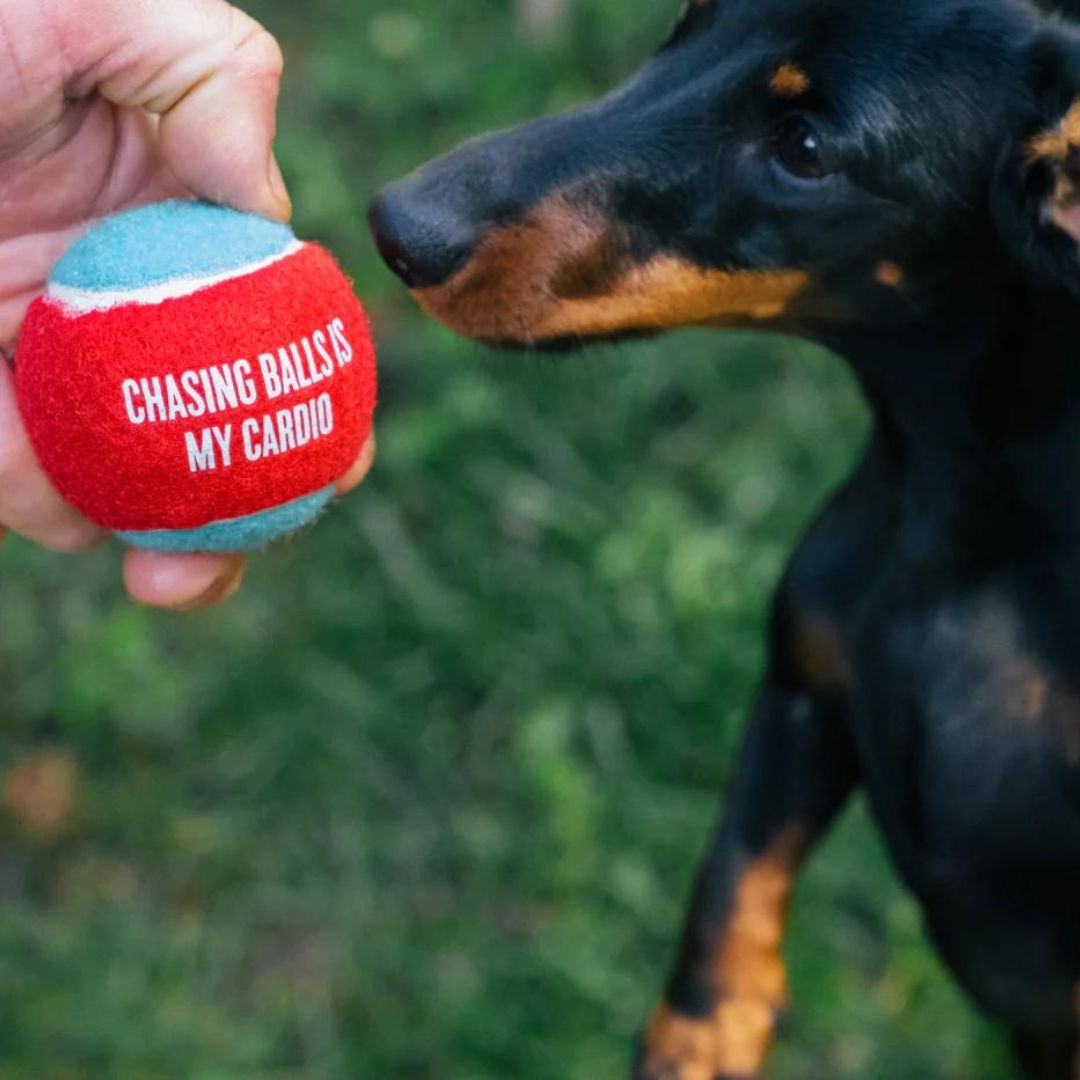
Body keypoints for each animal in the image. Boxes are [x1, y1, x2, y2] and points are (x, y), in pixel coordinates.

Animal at [375, 0, 1080, 1075]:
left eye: (804, 147)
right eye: (688, 23)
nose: (397, 227)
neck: (970, 516)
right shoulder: (801, 686)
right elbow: (737, 858)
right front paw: (701, 1033)